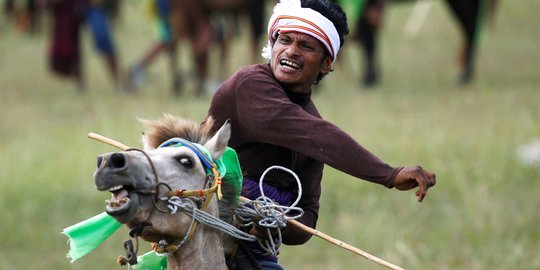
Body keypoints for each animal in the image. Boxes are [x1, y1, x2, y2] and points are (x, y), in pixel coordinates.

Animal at [350, 0, 498, 87]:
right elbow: (371, 42)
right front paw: (373, 78)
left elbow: (369, 44)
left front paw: (368, 80)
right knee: (472, 30)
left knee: (471, 30)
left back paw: (465, 76)